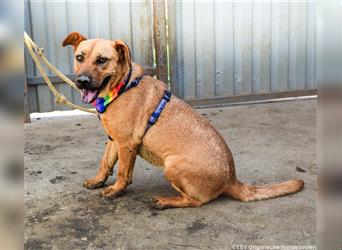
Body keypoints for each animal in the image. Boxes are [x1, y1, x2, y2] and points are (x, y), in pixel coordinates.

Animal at [62, 31, 304, 209]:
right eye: (80, 57)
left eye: (102, 60)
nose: (81, 81)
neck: (122, 86)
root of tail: (231, 179)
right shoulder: (114, 140)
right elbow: (105, 162)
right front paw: (98, 180)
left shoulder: (127, 144)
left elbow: (122, 172)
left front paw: (116, 190)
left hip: (172, 165)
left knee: (197, 201)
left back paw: (166, 201)